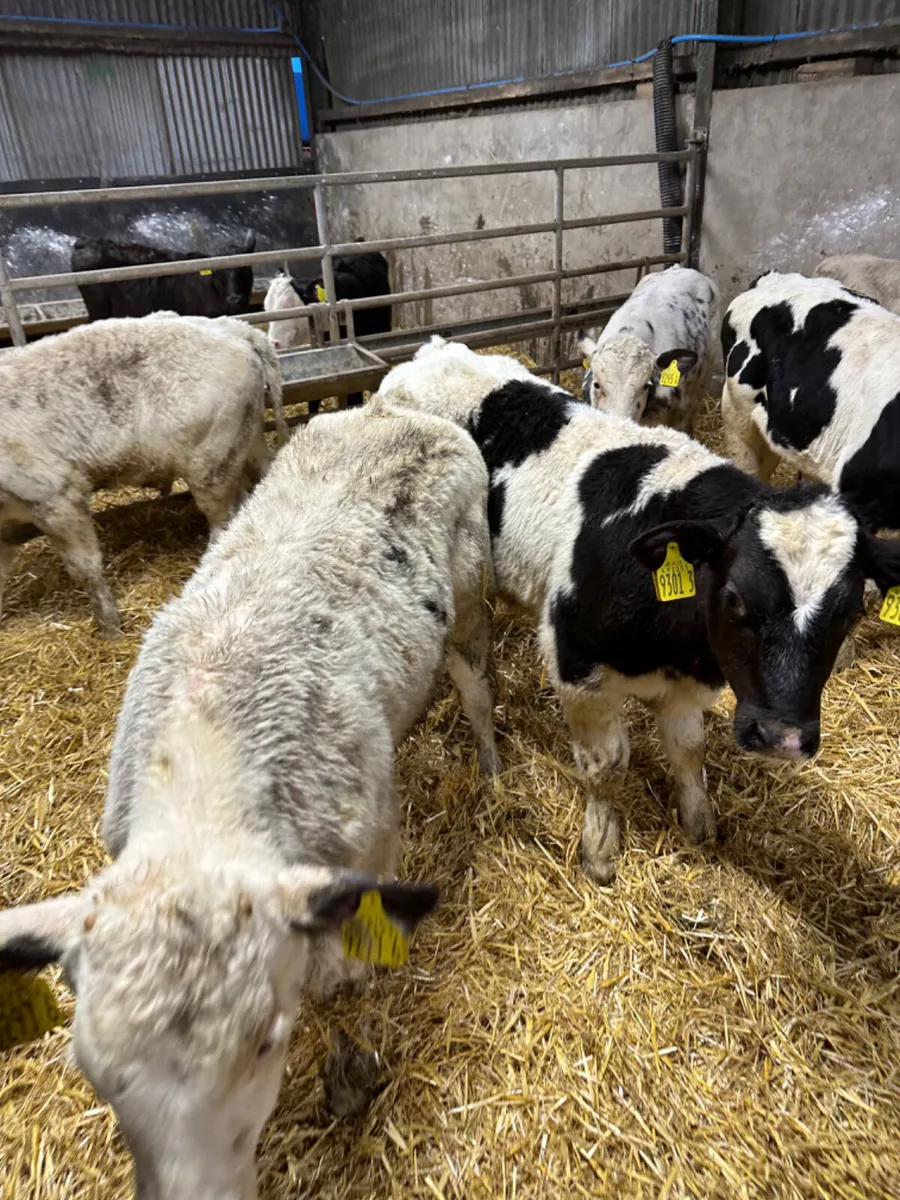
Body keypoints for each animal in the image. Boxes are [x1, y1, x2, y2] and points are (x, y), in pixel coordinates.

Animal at [0, 314, 286, 637]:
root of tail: (236, 328)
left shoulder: (56, 497)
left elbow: (86, 568)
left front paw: (110, 626)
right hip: (248, 443)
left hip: (211, 466)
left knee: (222, 523)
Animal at [0, 399, 500, 1200]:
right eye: (95, 1076)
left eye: (268, 1041)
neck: (205, 779)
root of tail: (395, 408)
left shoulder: (366, 853)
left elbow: (342, 976)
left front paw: (350, 1067)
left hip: (472, 599)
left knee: (478, 690)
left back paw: (489, 763)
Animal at [380, 338, 900, 884]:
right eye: (735, 597)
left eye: (848, 611)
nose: (784, 738)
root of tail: (434, 351)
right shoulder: (579, 670)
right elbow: (606, 766)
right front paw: (600, 849)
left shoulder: (689, 685)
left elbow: (689, 750)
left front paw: (699, 822)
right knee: (475, 683)